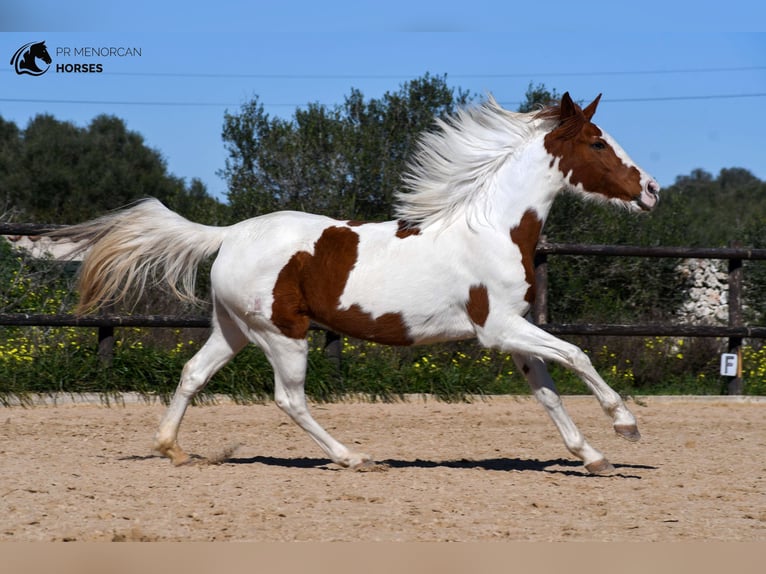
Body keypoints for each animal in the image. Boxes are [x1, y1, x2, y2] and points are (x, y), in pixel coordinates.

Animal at [54, 92, 664, 474]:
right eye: (598, 143)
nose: (652, 190)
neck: (492, 228)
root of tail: (230, 234)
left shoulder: (512, 334)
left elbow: (548, 392)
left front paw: (592, 457)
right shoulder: (498, 328)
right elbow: (578, 354)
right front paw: (626, 427)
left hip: (233, 328)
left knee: (192, 374)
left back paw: (173, 450)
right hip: (282, 334)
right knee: (289, 398)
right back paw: (352, 457)